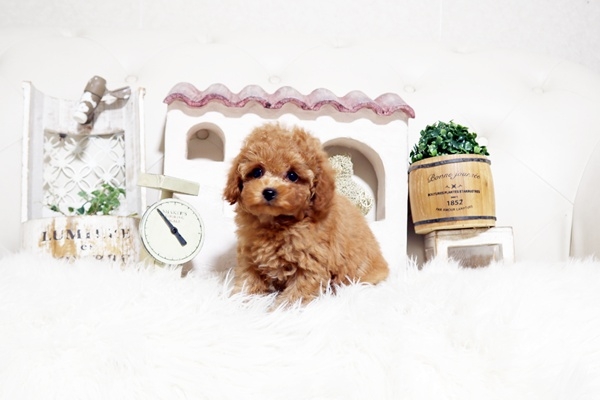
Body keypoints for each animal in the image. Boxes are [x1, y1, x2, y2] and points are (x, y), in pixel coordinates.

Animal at [223, 123, 389, 306]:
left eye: (292, 175)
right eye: (257, 172)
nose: (269, 192)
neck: (277, 223)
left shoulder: (311, 264)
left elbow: (295, 295)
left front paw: (277, 310)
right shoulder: (250, 257)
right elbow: (247, 283)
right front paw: (240, 303)